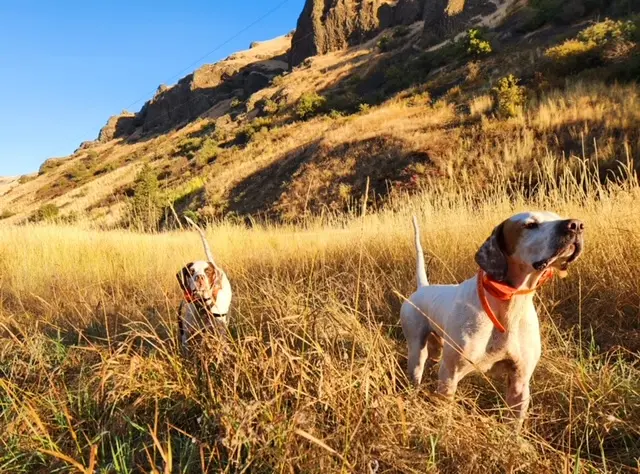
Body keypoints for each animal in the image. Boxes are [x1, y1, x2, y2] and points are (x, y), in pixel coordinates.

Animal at [176, 217, 232, 347]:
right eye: (191, 271)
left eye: (208, 271)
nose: (199, 277)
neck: (202, 306)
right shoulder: (186, 336)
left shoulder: (219, 332)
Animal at [400, 211, 584, 422]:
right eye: (530, 224)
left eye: (557, 216)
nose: (576, 225)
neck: (509, 305)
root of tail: (422, 288)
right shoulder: (449, 376)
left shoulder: (520, 382)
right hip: (417, 353)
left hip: (436, 349)